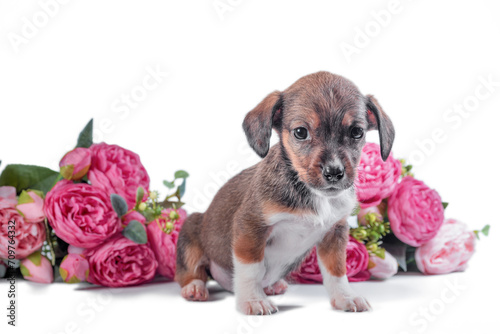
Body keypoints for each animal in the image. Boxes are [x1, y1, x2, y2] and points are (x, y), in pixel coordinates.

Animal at [176, 72, 394, 314]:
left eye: (357, 132)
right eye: (300, 132)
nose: (334, 172)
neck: (312, 194)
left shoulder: (334, 233)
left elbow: (336, 271)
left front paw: (345, 297)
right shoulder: (251, 228)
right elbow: (252, 270)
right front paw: (253, 300)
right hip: (191, 232)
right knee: (189, 272)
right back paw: (194, 287)